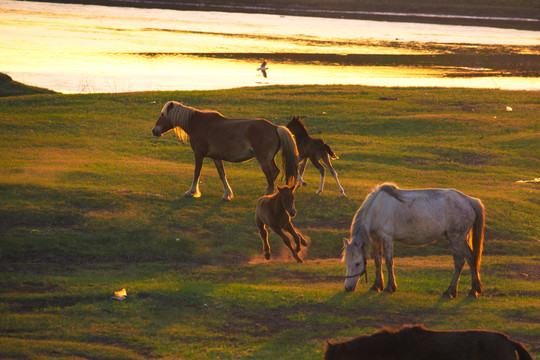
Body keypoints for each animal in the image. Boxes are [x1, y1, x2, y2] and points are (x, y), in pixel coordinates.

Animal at [152, 101, 298, 201]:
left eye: (162, 114)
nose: (155, 130)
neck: (199, 124)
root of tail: (275, 127)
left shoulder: (199, 154)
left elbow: (196, 173)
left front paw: (192, 192)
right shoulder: (216, 157)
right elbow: (222, 175)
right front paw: (227, 194)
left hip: (264, 160)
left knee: (270, 175)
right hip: (269, 159)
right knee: (275, 173)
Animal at [342, 183, 486, 298]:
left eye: (357, 263)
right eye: (346, 263)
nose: (348, 288)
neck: (376, 209)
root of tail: (469, 200)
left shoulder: (387, 238)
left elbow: (388, 262)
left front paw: (390, 287)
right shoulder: (375, 238)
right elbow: (378, 262)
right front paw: (377, 286)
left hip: (455, 238)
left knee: (459, 262)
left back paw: (450, 291)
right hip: (461, 239)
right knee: (471, 259)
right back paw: (474, 290)